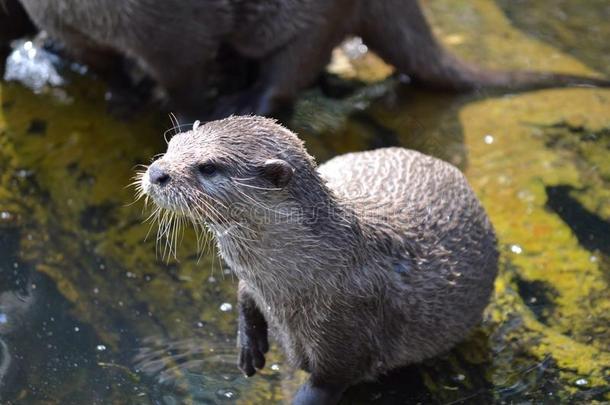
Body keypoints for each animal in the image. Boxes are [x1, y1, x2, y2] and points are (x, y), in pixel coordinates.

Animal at [139, 115, 498, 402]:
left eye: (209, 167)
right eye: (172, 144)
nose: (156, 172)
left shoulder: (346, 330)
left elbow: (328, 381)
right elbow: (243, 292)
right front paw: (248, 345)